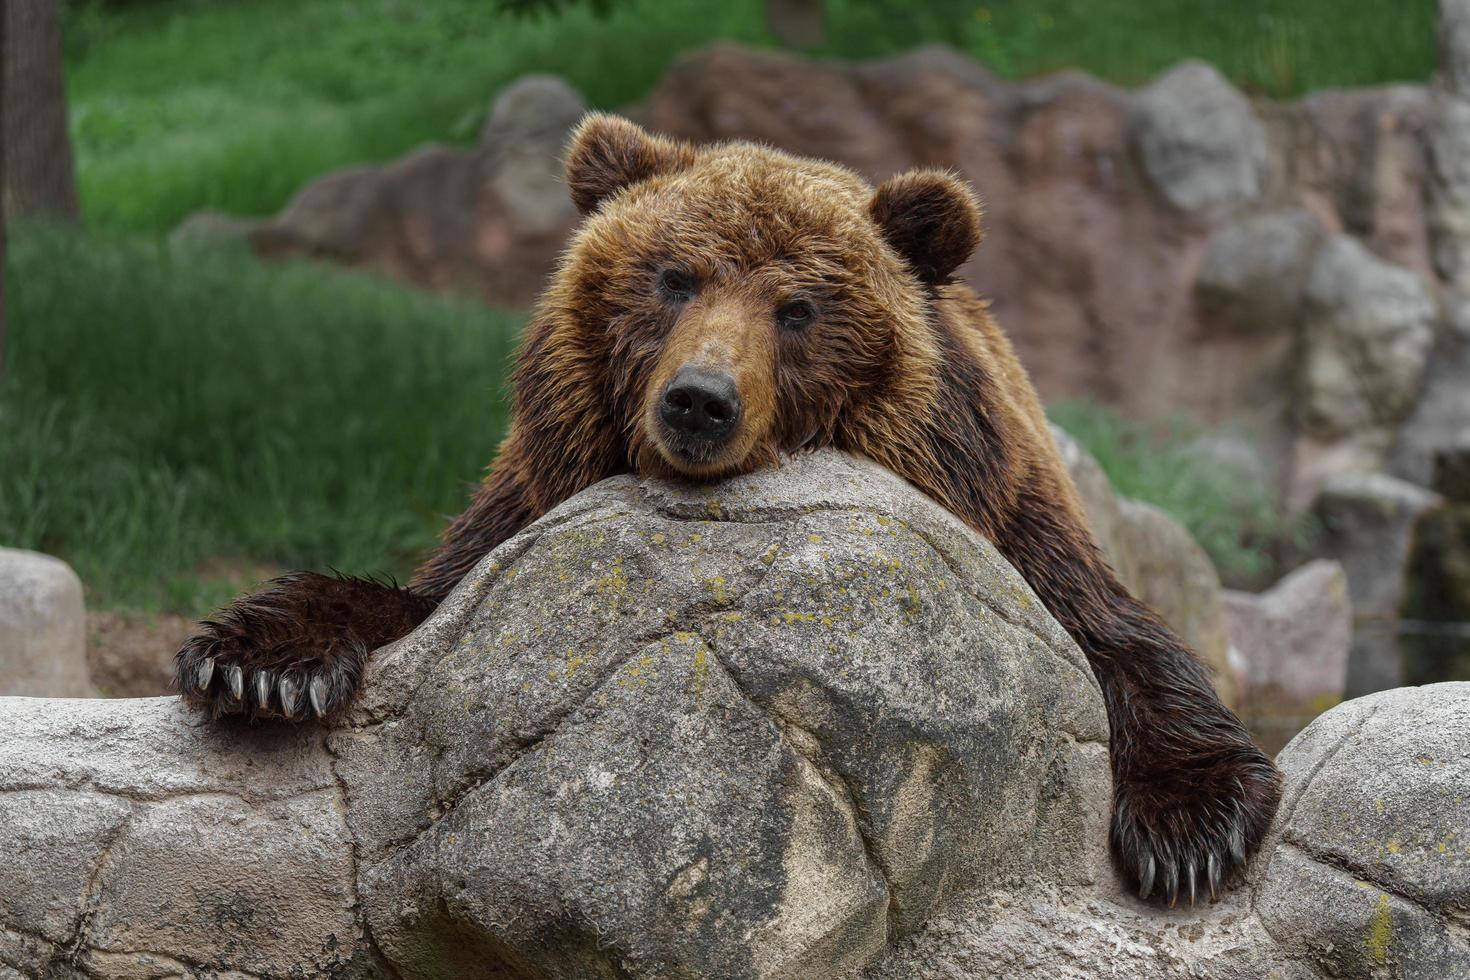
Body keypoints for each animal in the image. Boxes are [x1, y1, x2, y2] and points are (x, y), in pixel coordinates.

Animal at [171, 113, 1275, 905]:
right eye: (674, 276)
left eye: (800, 307)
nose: (700, 400)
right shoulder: (527, 499)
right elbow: (412, 597)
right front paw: (258, 665)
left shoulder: (1008, 514)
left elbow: (1121, 641)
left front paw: (1188, 831)